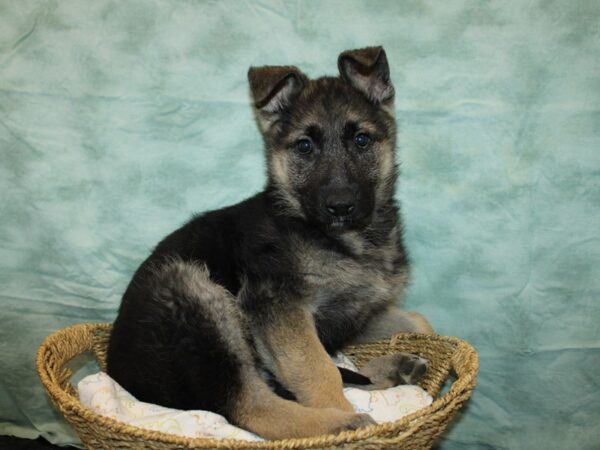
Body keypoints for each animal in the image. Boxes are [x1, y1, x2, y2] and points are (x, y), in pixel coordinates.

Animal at [106, 47, 432, 438]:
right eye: (304, 146)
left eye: (361, 140)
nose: (340, 205)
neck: (345, 240)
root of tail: (118, 374)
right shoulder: (280, 307)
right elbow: (319, 371)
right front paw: (347, 419)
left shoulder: (356, 311)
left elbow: (416, 321)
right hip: (195, 297)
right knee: (249, 405)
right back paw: (341, 423)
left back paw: (390, 370)